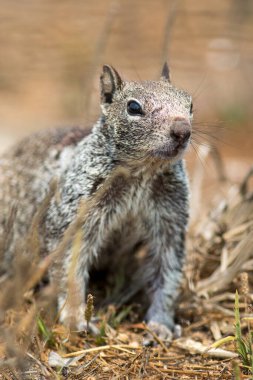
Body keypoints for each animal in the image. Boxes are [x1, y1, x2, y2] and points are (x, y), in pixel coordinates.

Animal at [0, 62, 192, 342]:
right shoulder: (75, 215)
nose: (183, 131)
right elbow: (69, 267)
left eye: (190, 104)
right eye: (134, 107)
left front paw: (161, 324)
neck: (142, 173)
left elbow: (167, 272)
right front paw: (76, 318)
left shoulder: (171, 219)